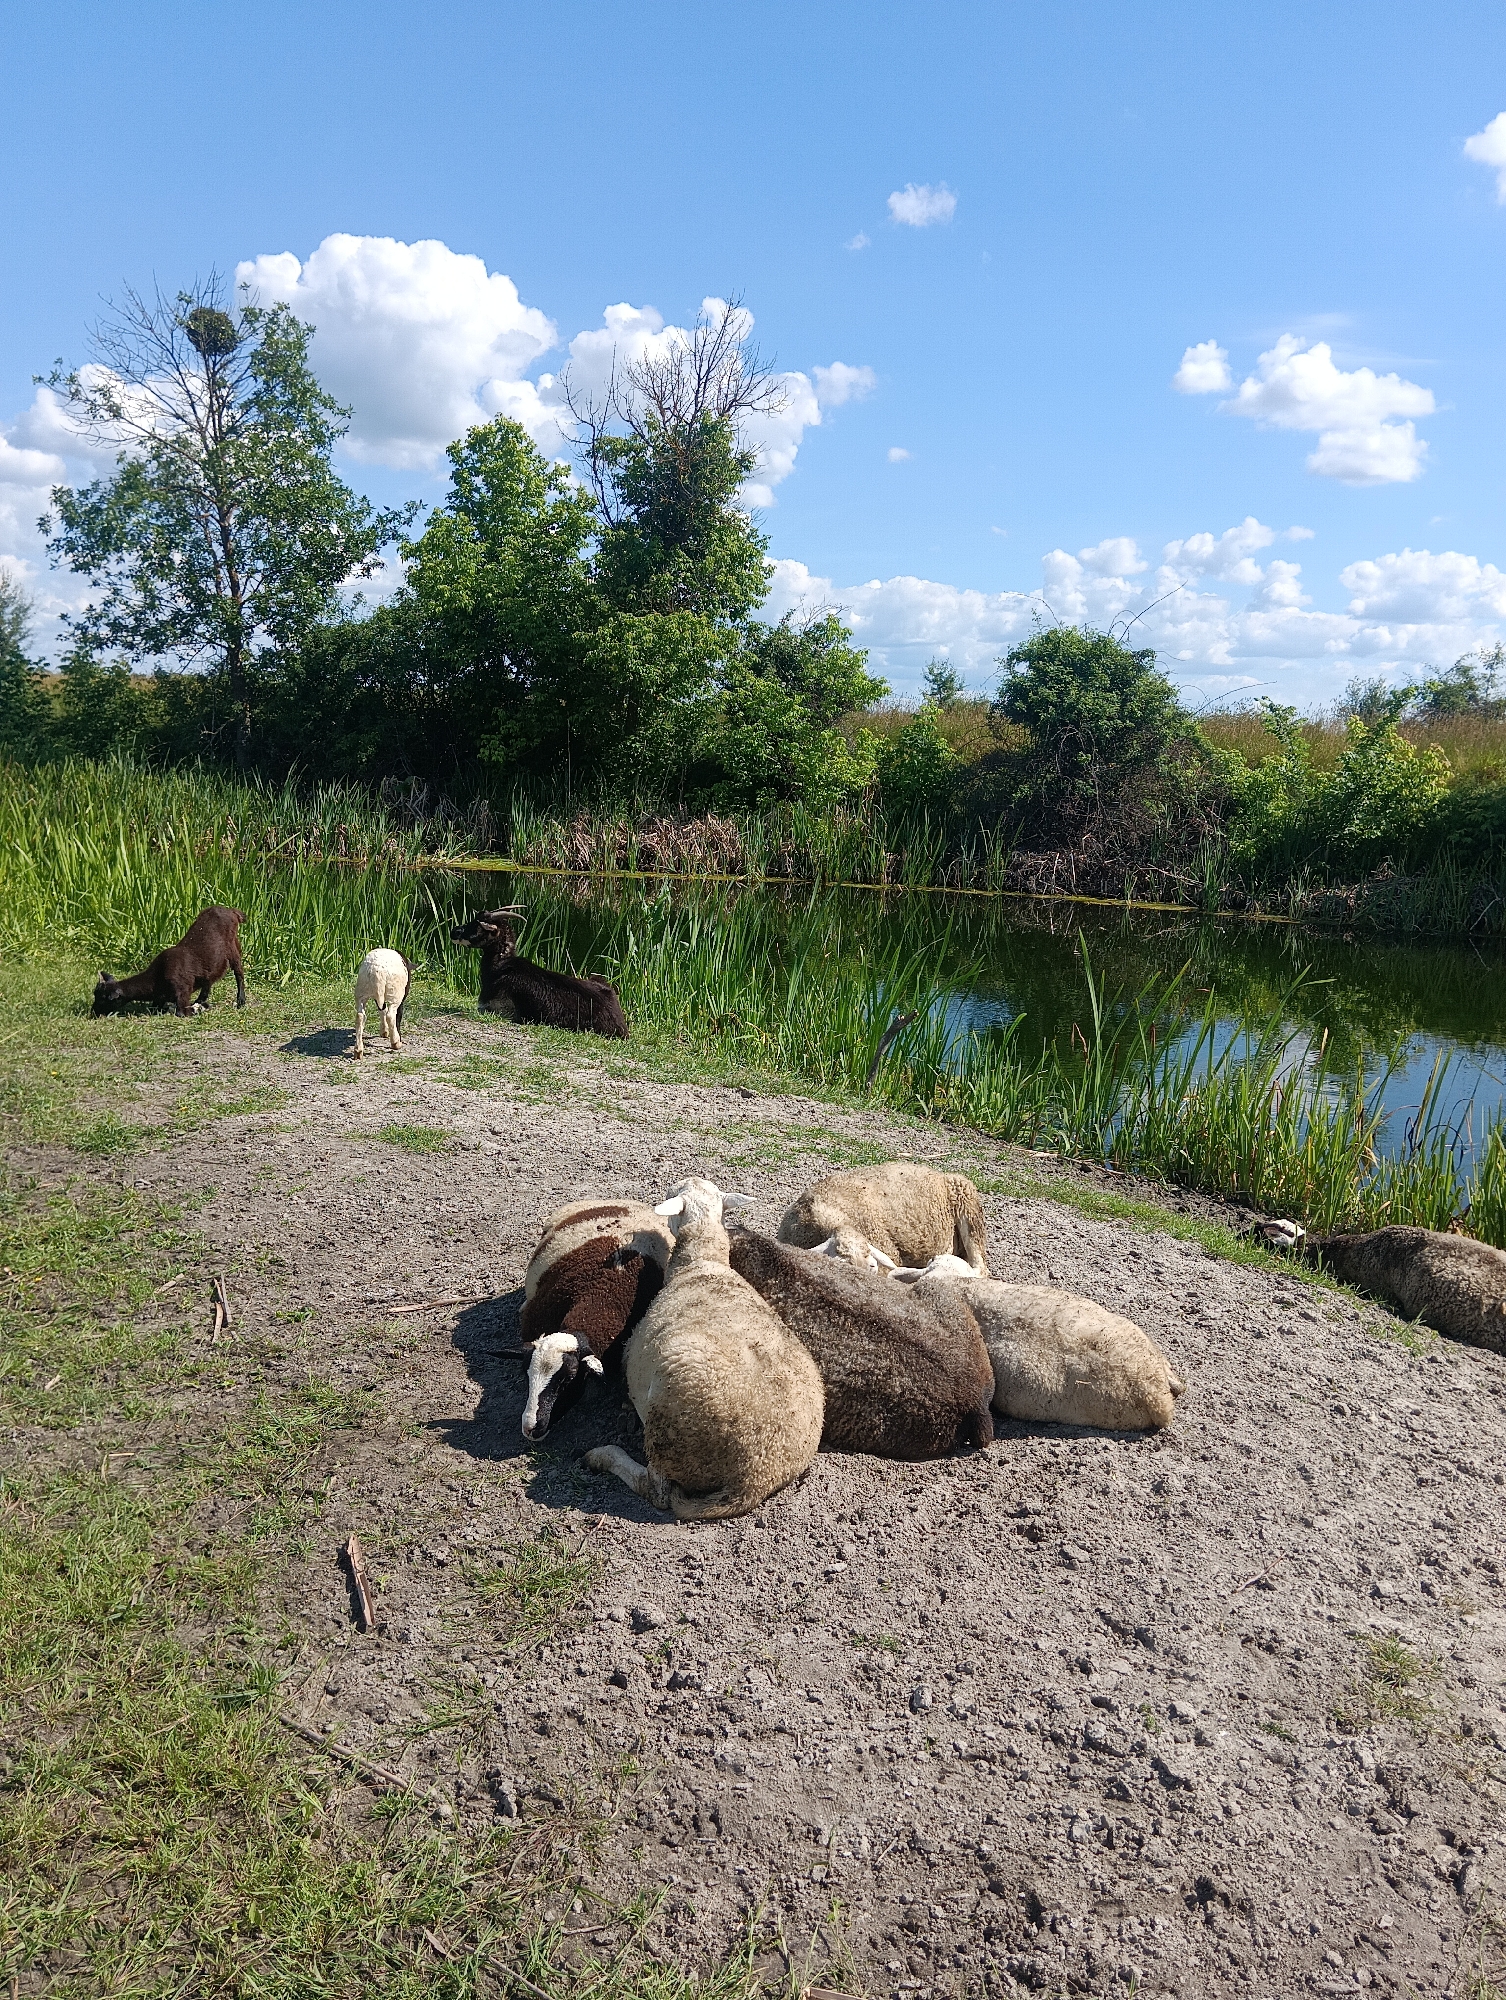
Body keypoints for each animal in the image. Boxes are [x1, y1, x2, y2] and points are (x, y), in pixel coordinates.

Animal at [92, 906, 246, 1018]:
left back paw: (240, 1001)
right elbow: (154, 1008)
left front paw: (199, 1009)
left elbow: (181, 1012)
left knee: (239, 973)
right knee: (209, 980)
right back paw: (201, 1000)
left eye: (103, 999)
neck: (156, 979)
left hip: (233, 947)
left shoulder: (182, 990)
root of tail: (232, 911)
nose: (92, 1012)